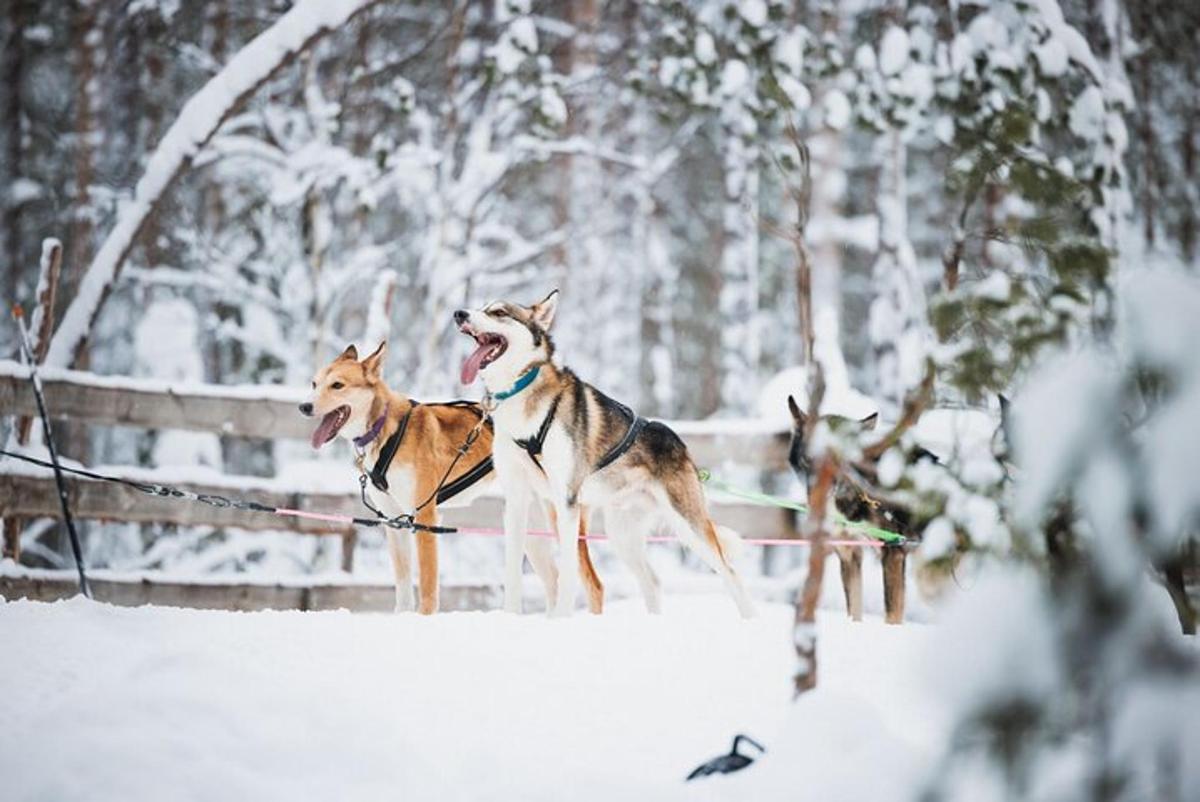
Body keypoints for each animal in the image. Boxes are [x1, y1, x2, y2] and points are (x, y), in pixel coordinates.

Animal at [296, 340, 604, 614]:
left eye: (337, 385)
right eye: (313, 384)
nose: (303, 407)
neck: (386, 429)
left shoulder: (425, 518)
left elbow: (428, 589)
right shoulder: (394, 522)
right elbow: (404, 590)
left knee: (593, 586)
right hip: (530, 529)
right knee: (554, 583)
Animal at [453, 291, 753, 619]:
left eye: (498, 312)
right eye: (480, 307)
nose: (459, 313)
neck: (522, 393)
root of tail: (680, 444)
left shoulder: (566, 501)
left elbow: (568, 573)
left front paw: (561, 618)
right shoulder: (518, 500)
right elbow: (511, 571)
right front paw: (510, 616)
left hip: (688, 524)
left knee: (730, 574)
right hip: (621, 533)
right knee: (652, 582)